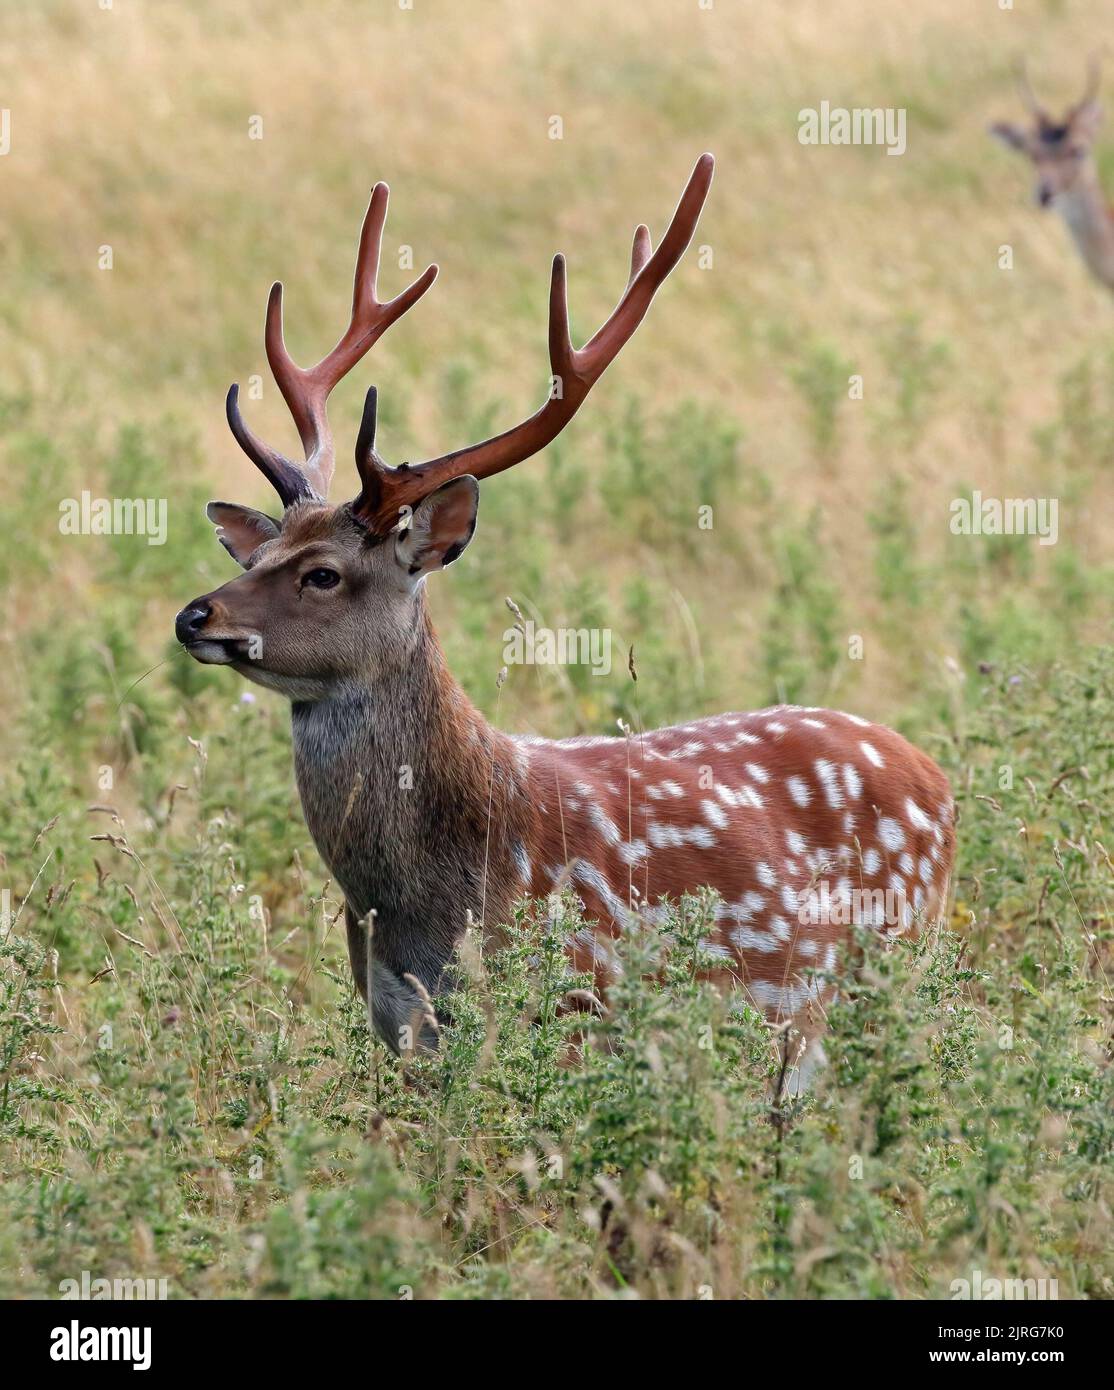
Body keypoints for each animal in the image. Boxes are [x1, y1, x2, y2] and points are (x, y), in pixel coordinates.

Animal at [175, 157, 956, 1078]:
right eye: (256, 556)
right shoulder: (402, 1030)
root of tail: (938, 779)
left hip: (884, 965)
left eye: (323, 573)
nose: (195, 616)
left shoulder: (579, 1003)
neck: (434, 904)